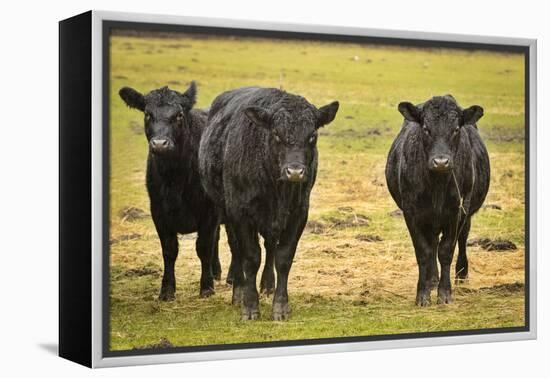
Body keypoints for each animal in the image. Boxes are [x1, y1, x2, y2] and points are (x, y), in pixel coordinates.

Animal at [119, 83, 223, 302]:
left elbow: (203, 247)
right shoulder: (158, 211)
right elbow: (169, 250)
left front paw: (206, 287)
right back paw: (216, 272)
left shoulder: (210, 211)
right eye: (148, 114)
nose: (160, 144)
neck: (175, 178)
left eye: (179, 115)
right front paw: (166, 290)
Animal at [201, 87, 340, 320]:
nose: (295, 171)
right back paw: (238, 291)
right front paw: (249, 305)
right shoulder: (240, 213)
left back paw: (267, 284)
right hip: (227, 211)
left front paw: (280, 306)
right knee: (236, 249)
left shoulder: (298, 213)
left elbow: (283, 257)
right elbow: (250, 257)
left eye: (312, 135)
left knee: (270, 246)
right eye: (276, 134)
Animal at [386, 96, 494, 306]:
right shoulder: (411, 213)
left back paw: (461, 275)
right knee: (432, 244)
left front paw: (445, 294)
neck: (437, 184)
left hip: (466, 212)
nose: (441, 162)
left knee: (461, 239)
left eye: (456, 129)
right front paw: (423, 293)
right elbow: (423, 252)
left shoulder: (455, 211)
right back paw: (432, 279)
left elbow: (446, 251)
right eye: (426, 128)